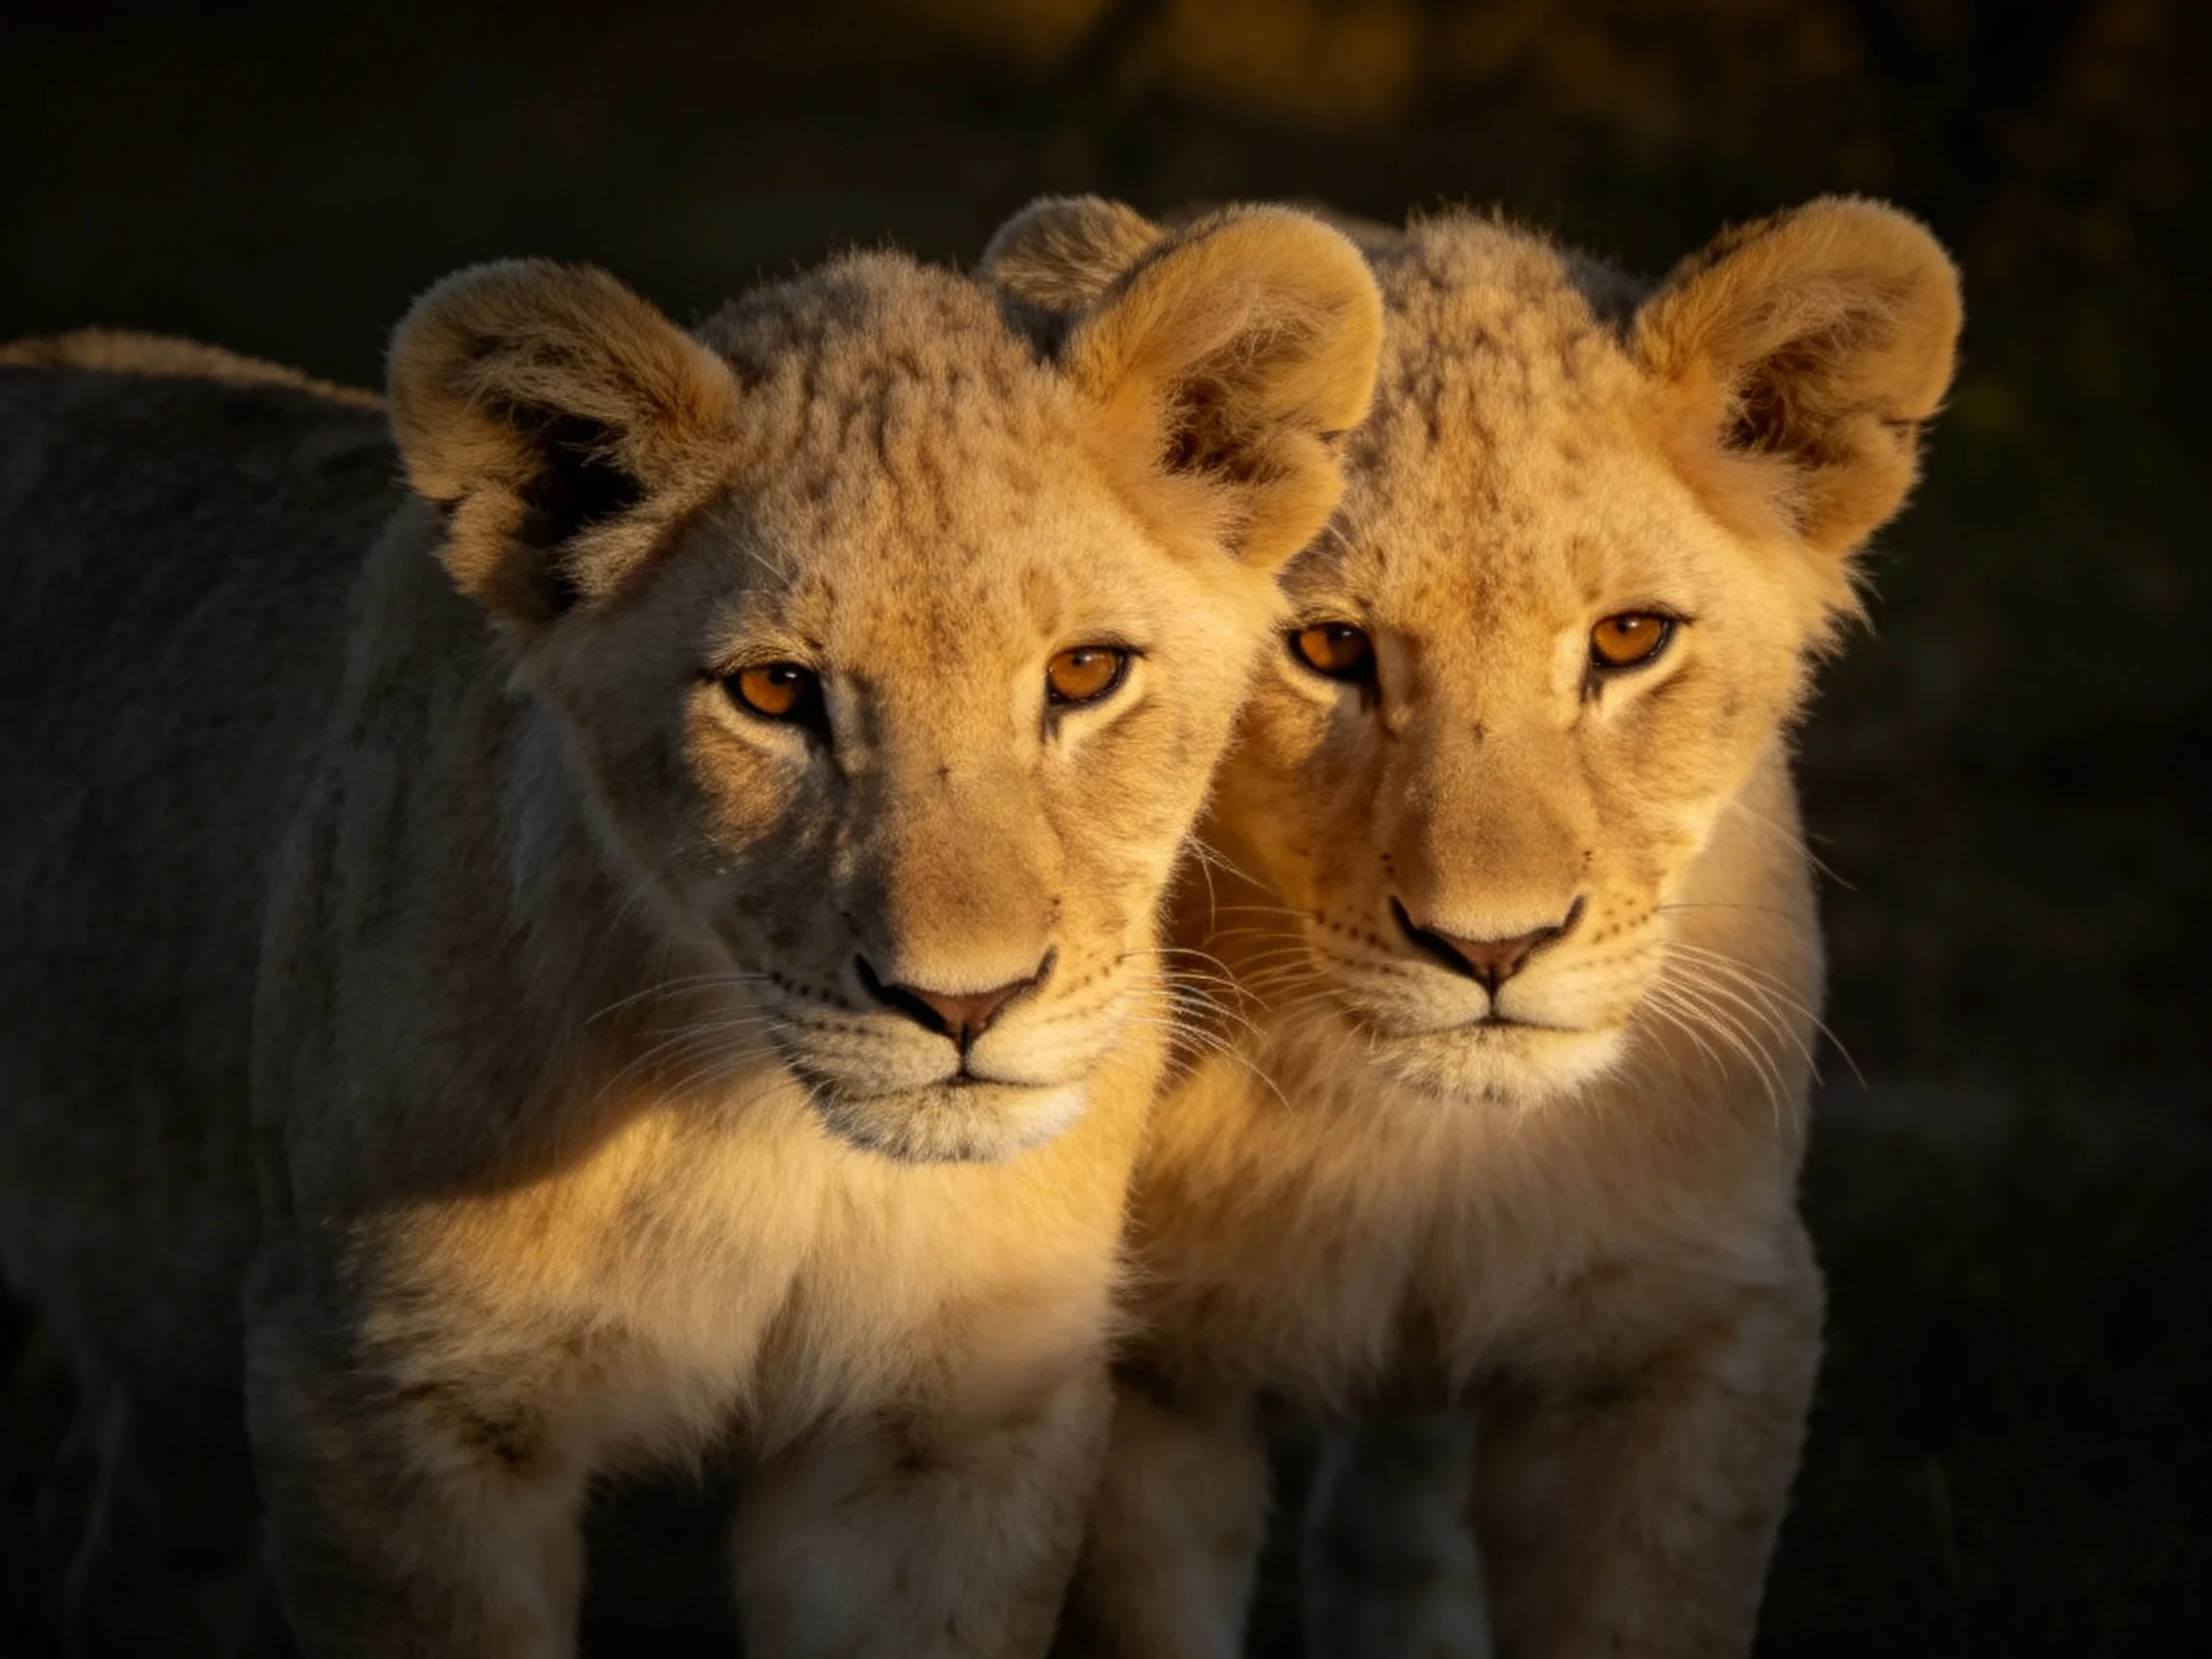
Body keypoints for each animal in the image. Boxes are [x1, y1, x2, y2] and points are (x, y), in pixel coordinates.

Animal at [0, 209, 1381, 1658]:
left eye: (1085, 673)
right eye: (773, 691)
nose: (963, 1005)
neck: (768, 1148)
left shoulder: (948, 1433)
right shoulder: (384, 1402)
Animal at [982, 195, 1961, 1657]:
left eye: (1629, 639)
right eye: (1328, 650)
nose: (1493, 950)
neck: (1417, 1150)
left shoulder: (1702, 1328)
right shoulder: (1140, 1371)